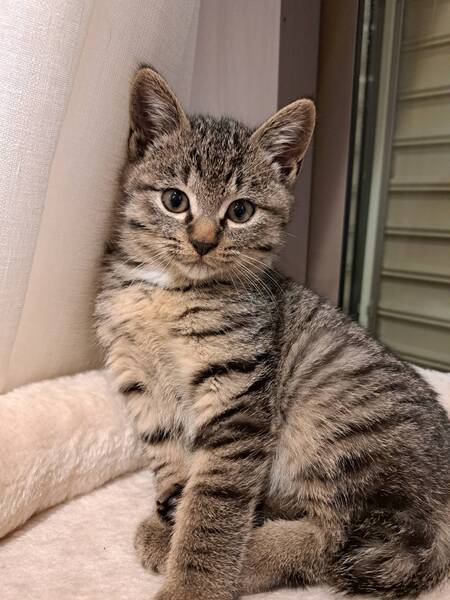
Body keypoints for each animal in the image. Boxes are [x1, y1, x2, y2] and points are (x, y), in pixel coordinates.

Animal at [95, 66, 450, 600]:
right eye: (175, 200)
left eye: (241, 211)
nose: (203, 242)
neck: (169, 292)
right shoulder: (143, 386)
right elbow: (175, 468)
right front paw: (170, 523)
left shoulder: (239, 397)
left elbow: (214, 505)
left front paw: (193, 583)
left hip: (333, 425)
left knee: (336, 538)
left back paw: (252, 558)